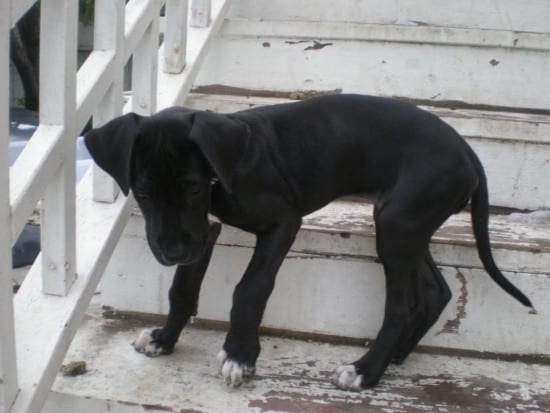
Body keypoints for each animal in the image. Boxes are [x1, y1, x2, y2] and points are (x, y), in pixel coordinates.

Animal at [85, 93, 536, 390]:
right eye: (142, 193)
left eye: (193, 188)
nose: (173, 252)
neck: (223, 168)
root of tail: (466, 150)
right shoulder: (205, 231)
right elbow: (182, 289)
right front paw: (164, 339)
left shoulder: (281, 223)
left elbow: (249, 289)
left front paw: (240, 355)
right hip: (407, 225)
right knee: (434, 291)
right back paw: (396, 355)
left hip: (397, 225)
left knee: (403, 305)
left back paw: (366, 370)